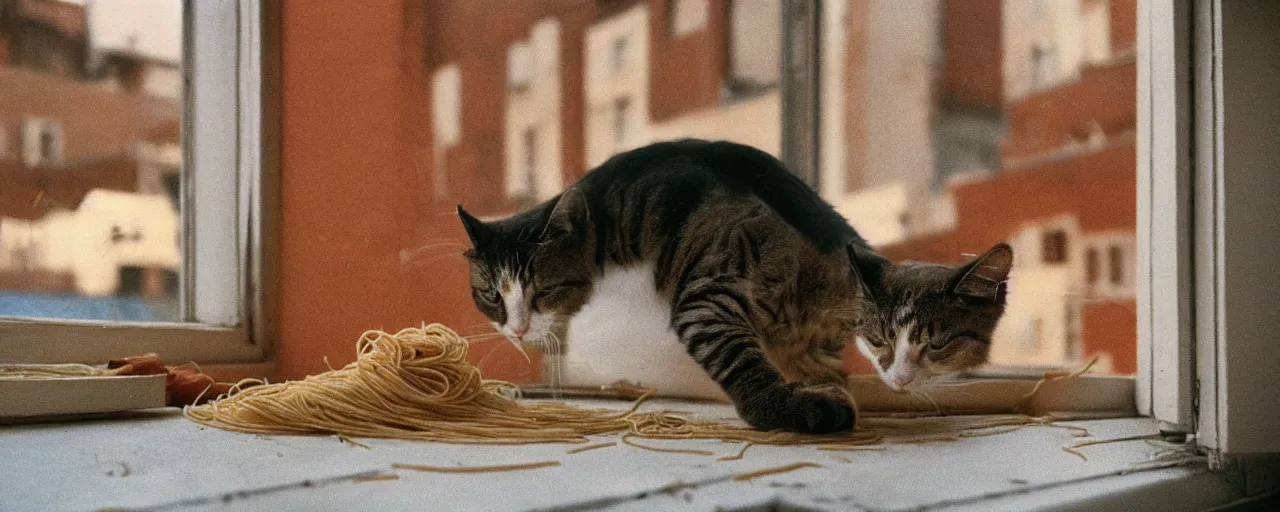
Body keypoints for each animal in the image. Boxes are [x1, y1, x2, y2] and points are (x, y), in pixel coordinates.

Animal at [455, 138, 1013, 432]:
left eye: (936, 344)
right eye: (490, 297)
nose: (516, 330)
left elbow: (821, 370)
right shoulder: (709, 297)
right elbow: (743, 361)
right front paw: (787, 409)